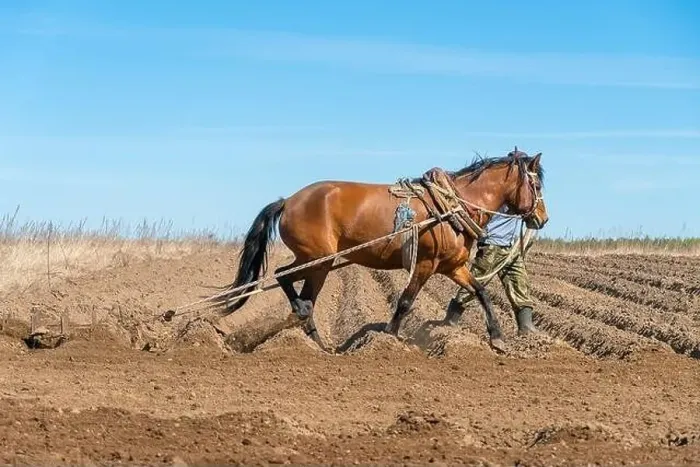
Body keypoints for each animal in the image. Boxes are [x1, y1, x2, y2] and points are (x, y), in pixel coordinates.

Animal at [215, 148, 548, 353]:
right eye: (537, 187)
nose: (542, 219)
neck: (452, 207)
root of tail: (289, 201)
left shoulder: (453, 267)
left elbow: (481, 292)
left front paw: (497, 338)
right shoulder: (425, 264)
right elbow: (405, 301)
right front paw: (388, 338)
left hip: (318, 262)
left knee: (299, 289)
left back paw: (314, 339)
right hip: (317, 259)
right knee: (284, 276)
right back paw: (304, 320)